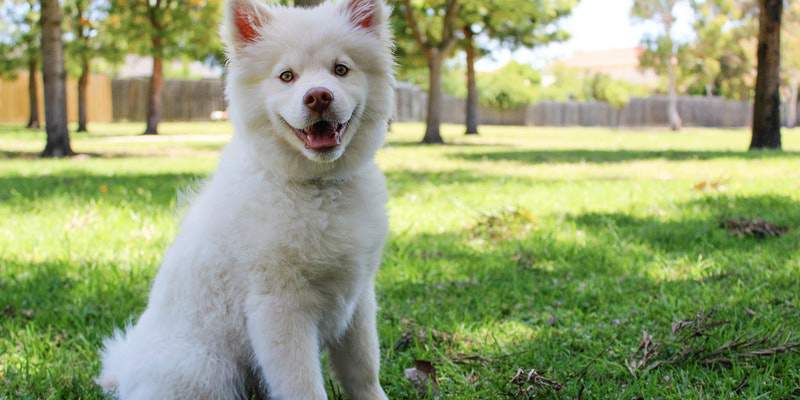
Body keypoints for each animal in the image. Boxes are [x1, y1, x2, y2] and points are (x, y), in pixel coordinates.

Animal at [98, 1, 396, 398]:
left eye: (341, 69)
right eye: (286, 76)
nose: (318, 96)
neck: (317, 186)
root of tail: (127, 371)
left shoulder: (358, 297)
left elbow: (363, 369)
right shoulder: (279, 306)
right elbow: (303, 385)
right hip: (205, 369)